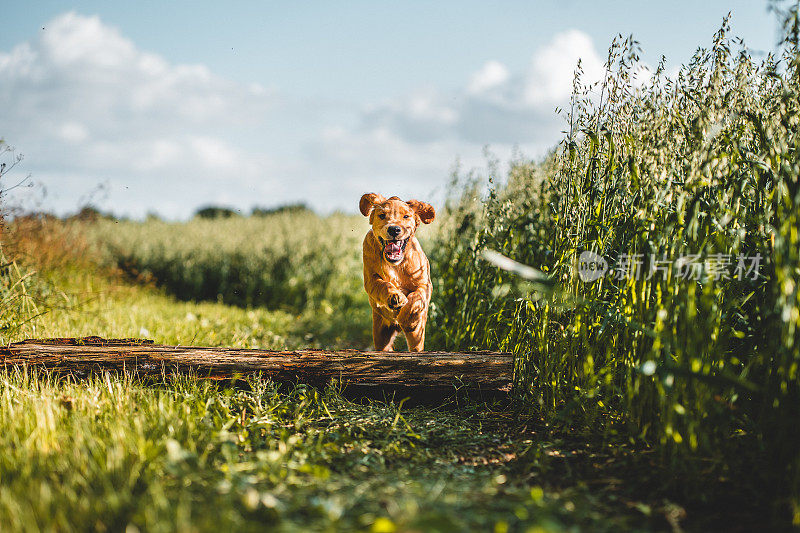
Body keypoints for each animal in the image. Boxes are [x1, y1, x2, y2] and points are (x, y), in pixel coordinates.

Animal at [360, 193, 438, 352]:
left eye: (406, 216)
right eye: (382, 215)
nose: (394, 229)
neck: (396, 264)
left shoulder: (425, 284)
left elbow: (416, 297)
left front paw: (406, 318)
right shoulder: (370, 280)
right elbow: (383, 285)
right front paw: (395, 297)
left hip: (417, 338)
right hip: (380, 335)